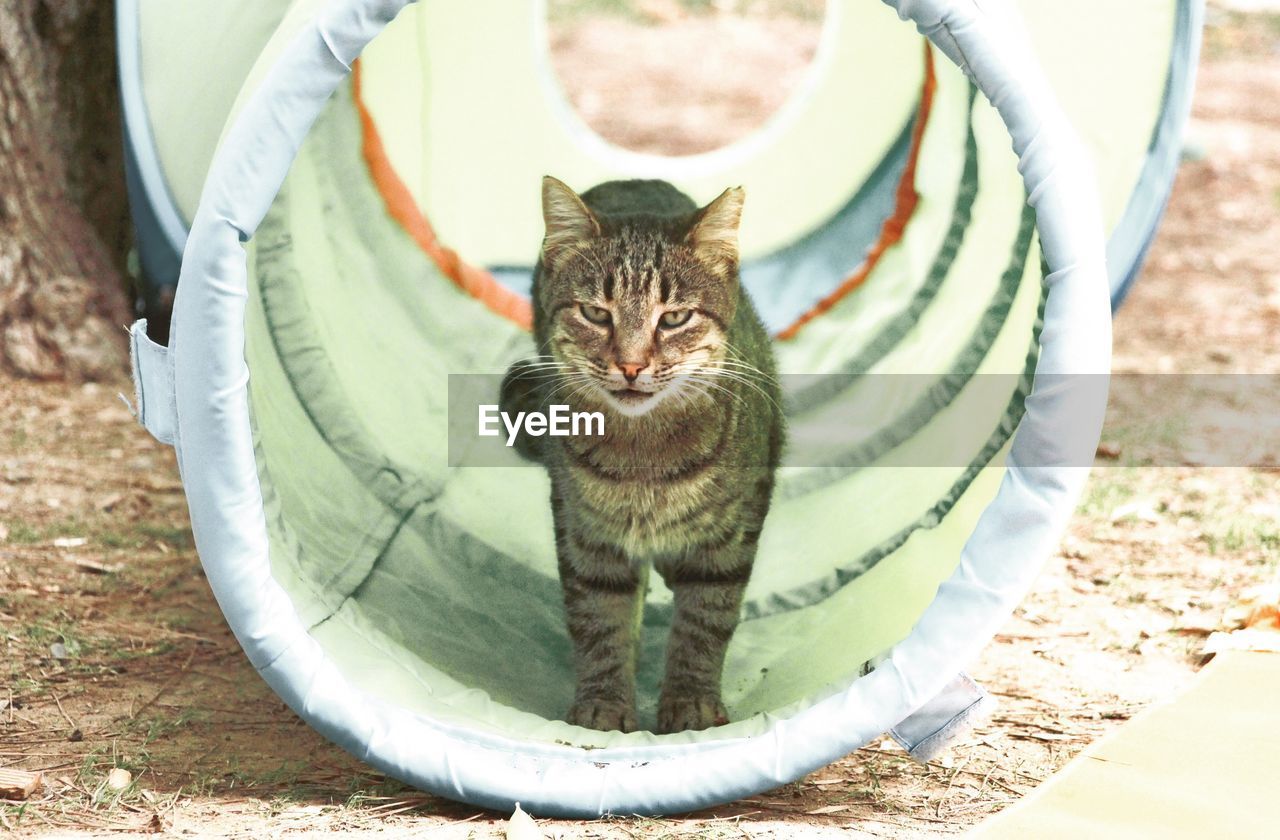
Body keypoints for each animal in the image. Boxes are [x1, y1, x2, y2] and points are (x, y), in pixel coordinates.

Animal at [496, 176, 778, 737]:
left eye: (674, 318)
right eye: (595, 313)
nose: (629, 365)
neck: (642, 452)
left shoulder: (731, 536)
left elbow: (705, 619)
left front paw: (690, 702)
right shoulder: (586, 534)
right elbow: (600, 619)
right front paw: (604, 706)